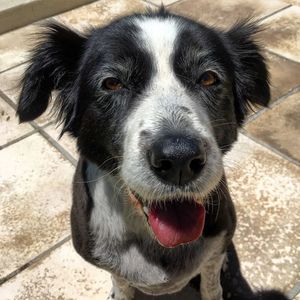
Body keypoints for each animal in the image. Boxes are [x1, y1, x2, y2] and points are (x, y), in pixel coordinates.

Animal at [15, 7, 288, 300]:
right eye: (112, 83)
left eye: (208, 78)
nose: (179, 159)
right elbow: (121, 284)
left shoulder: (216, 246)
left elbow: (211, 283)